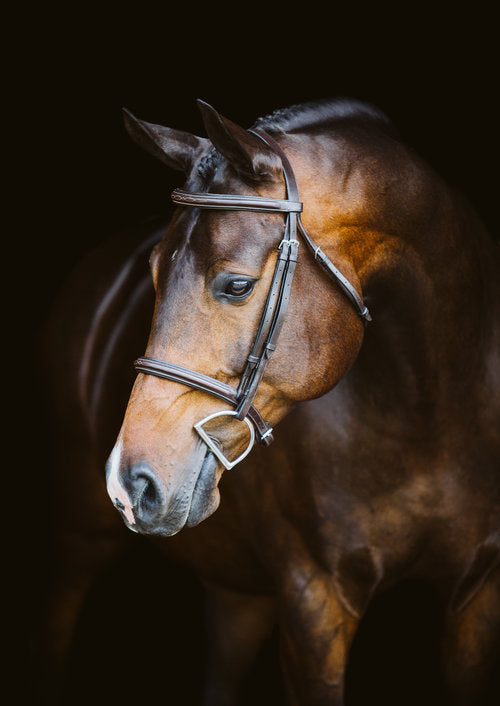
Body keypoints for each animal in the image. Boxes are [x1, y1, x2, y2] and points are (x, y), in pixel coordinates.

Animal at [39, 97, 500, 706]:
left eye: (236, 285)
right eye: (154, 272)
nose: (127, 484)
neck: (429, 414)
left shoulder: (478, 599)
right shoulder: (314, 604)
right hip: (76, 544)